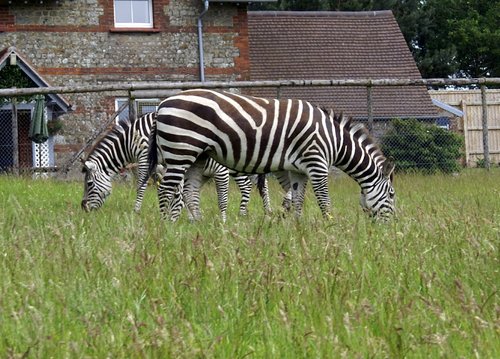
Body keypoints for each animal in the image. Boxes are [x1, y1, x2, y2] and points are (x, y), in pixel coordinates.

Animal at [81, 111, 270, 221]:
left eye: (89, 184)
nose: (84, 209)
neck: (130, 141)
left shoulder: (145, 159)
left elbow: (142, 185)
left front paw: (136, 210)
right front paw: (185, 214)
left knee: (250, 185)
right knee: (256, 185)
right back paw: (263, 212)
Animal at [147, 88, 394, 221]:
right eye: (392, 195)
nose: (391, 226)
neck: (334, 140)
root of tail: (162, 104)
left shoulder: (299, 170)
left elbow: (298, 199)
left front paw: (298, 228)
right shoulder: (317, 163)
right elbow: (324, 200)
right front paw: (330, 227)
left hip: (197, 157)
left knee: (190, 192)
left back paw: (196, 225)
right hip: (180, 152)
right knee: (166, 190)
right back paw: (166, 227)